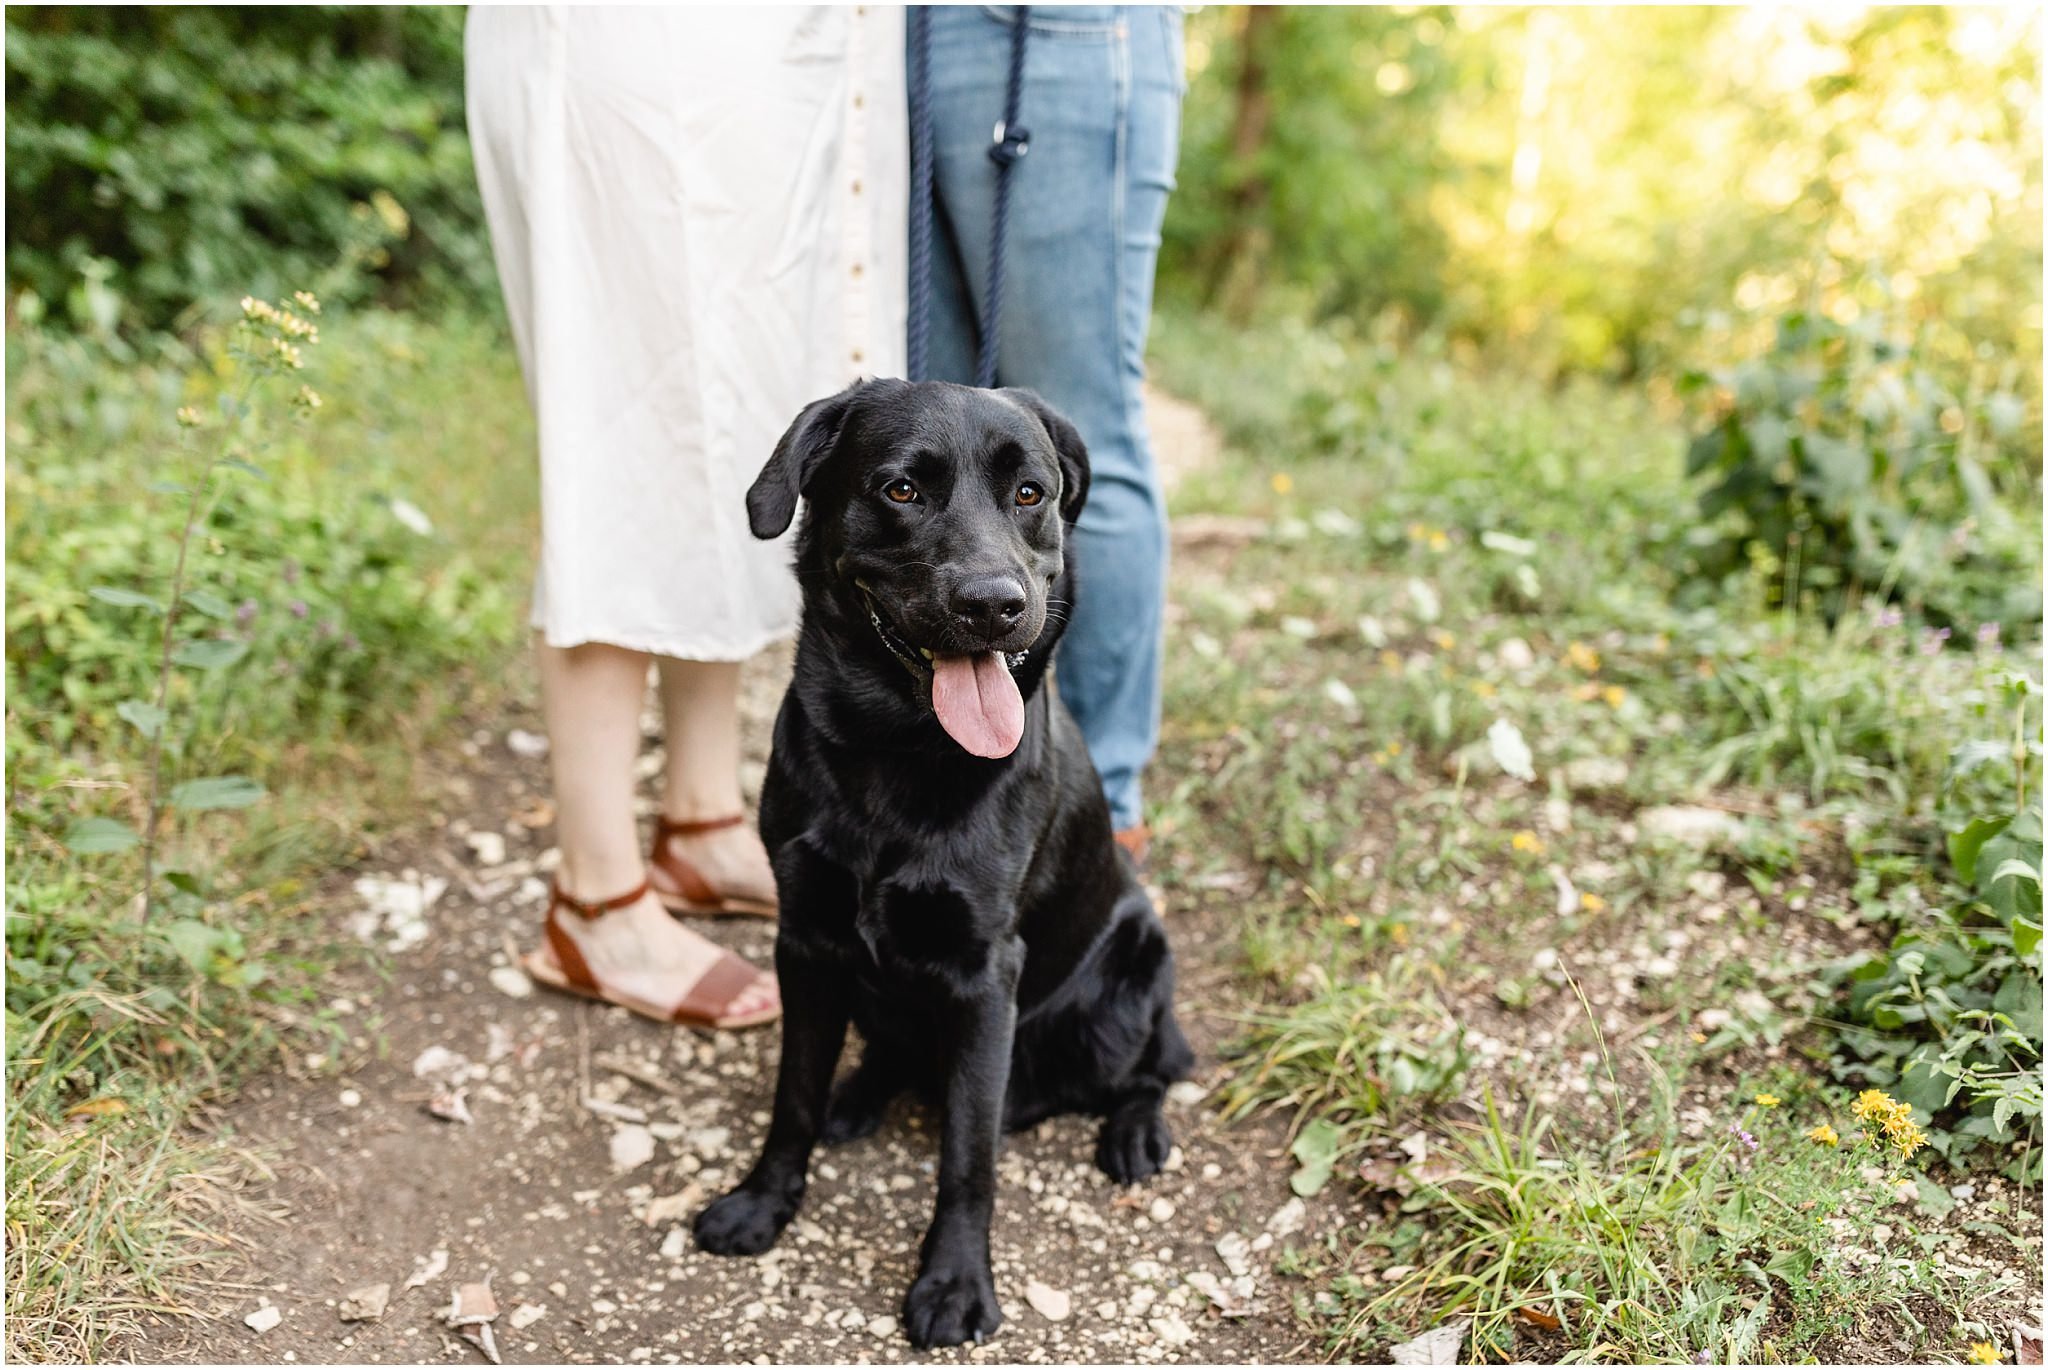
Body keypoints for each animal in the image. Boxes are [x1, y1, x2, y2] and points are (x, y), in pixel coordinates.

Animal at [696, 378, 1196, 1343]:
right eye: (901, 489)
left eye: (1030, 494)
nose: (993, 603)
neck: (897, 751)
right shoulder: (804, 942)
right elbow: (792, 1096)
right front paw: (763, 1203)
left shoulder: (983, 973)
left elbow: (968, 1156)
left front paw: (956, 1283)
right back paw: (861, 1093)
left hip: (1137, 963)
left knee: (1155, 1067)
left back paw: (1134, 1132)